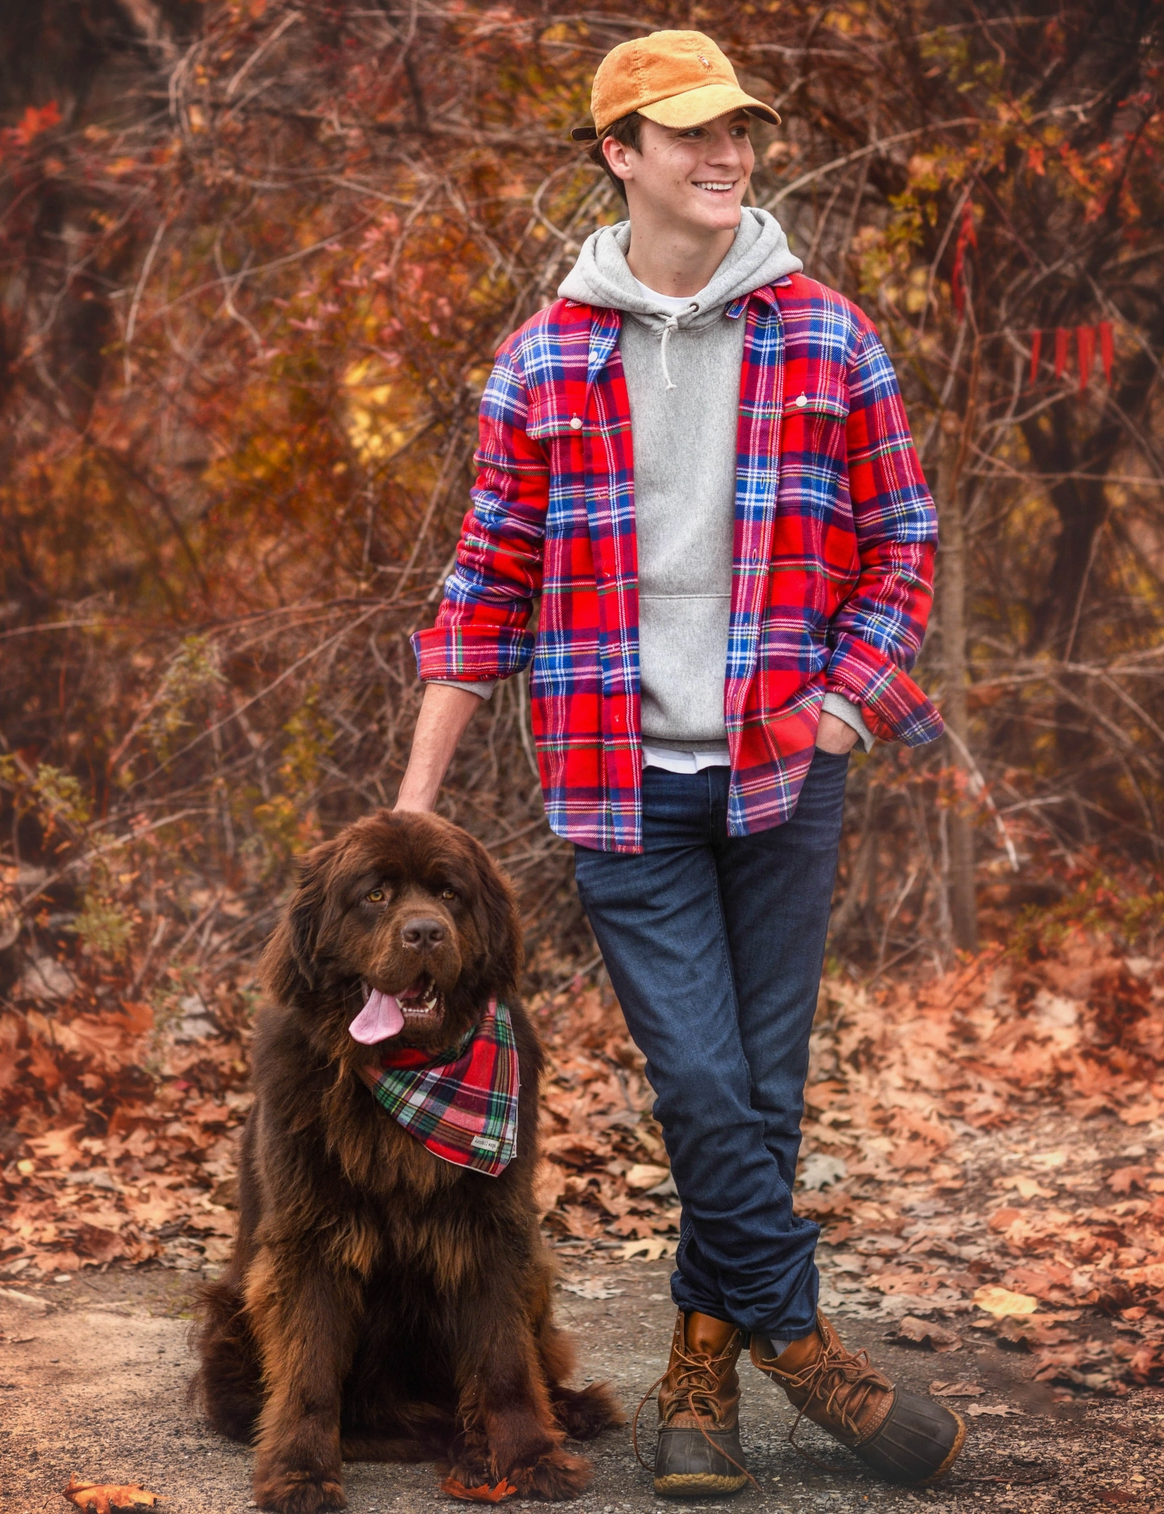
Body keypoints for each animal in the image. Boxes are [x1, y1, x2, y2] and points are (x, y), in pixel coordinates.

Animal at [195, 811, 623, 1507]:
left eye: (449, 894)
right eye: (375, 895)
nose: (424, 932)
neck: (407, 1069)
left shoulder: (490, 1228)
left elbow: (506, 1361)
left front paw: (531, 1455)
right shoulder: (310, 1241)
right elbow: (309, 1373)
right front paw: (300, 1471)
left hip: (532, 1270)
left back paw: (559, 1415)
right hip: (230, 1319)